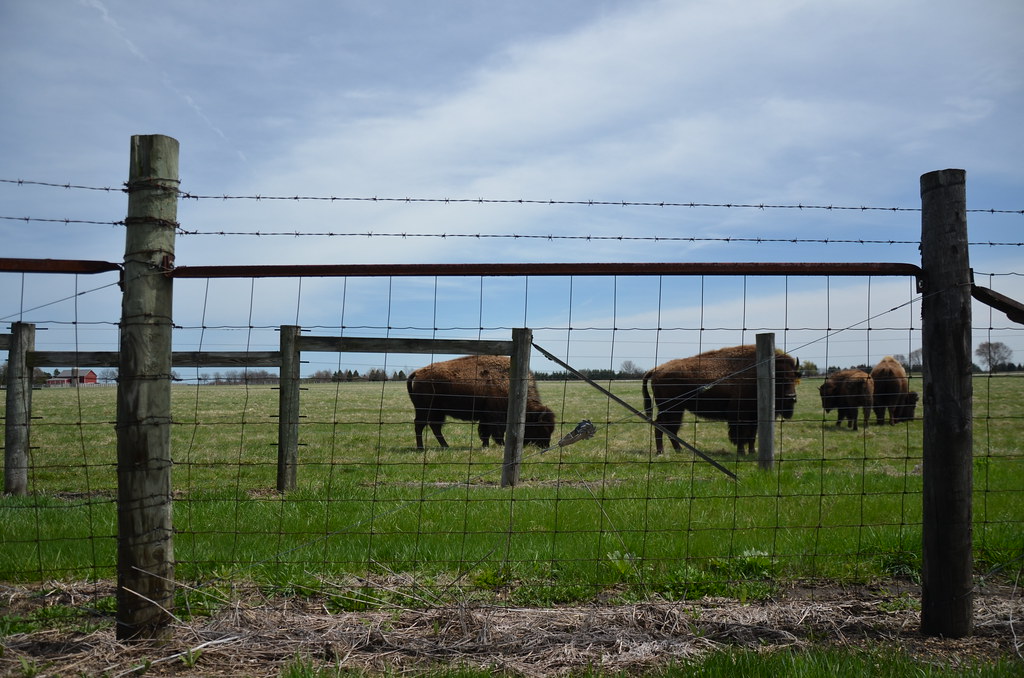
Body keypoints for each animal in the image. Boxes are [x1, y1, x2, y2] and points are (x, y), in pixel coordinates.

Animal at [406, 355, 556, 450]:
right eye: (541, 427)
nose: (545, 446)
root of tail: (418, 372)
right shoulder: (495, 417)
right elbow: (496, 432)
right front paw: (501, 445)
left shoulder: (485, 417)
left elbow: (485, 432)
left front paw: (485, 446)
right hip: (425, 410)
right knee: (420, 425)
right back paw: (421, 448)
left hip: (437, 412)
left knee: (434, 427)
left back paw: (445, 446)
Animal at [641, 344, 801, 455]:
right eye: (778, 378)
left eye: (793, 377)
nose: (791, 397)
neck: (757, 375)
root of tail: (657, 369)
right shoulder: (739, 416)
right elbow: (740, 435)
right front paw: (741, 452)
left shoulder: (754, 417)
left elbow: (752, 435)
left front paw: (752, 452)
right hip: (672, 410)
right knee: (663, 427)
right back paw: (663, 452)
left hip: (673, 410)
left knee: (667, 429)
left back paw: (677, 450)